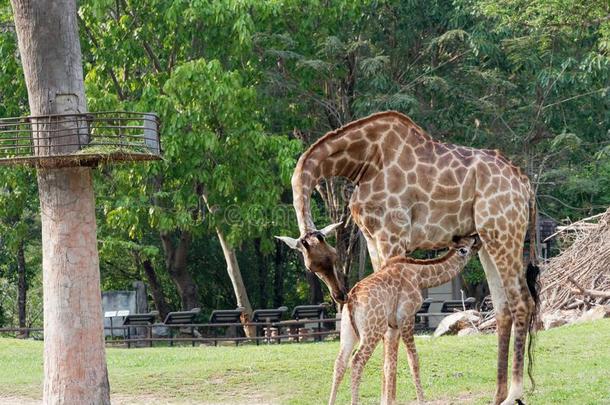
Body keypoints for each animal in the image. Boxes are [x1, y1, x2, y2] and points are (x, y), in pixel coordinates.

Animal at [328, 234, 480, 404]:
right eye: (465, 248)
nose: (476, 238)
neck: (420, 276)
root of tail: (352, 300)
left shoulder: (392, 326)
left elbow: (389, 365)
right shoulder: (407, 317)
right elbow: (413, 361)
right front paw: (421, 400)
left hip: (349, 331)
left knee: (340, 362)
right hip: (373, 330)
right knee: (356, 361)